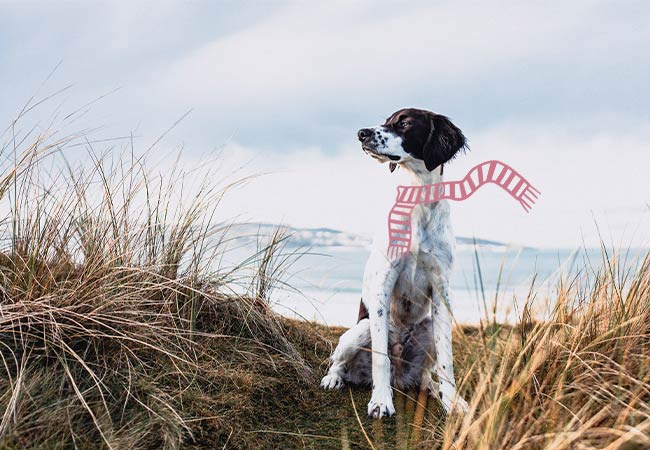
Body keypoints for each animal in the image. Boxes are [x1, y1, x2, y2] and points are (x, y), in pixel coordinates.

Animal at [318, 108, 466, 418]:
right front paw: (381, 402)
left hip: (427, 328)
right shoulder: (383, 283)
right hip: (360, 330)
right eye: (386, 121)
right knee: (339, 361)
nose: (361, 133)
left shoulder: (442, 289)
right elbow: (381, 358)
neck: (418, 200)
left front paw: (453, 401)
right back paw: (334, 379)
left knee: (426, 374)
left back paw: (432, 388)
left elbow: (446, 359)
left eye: (405, 123)